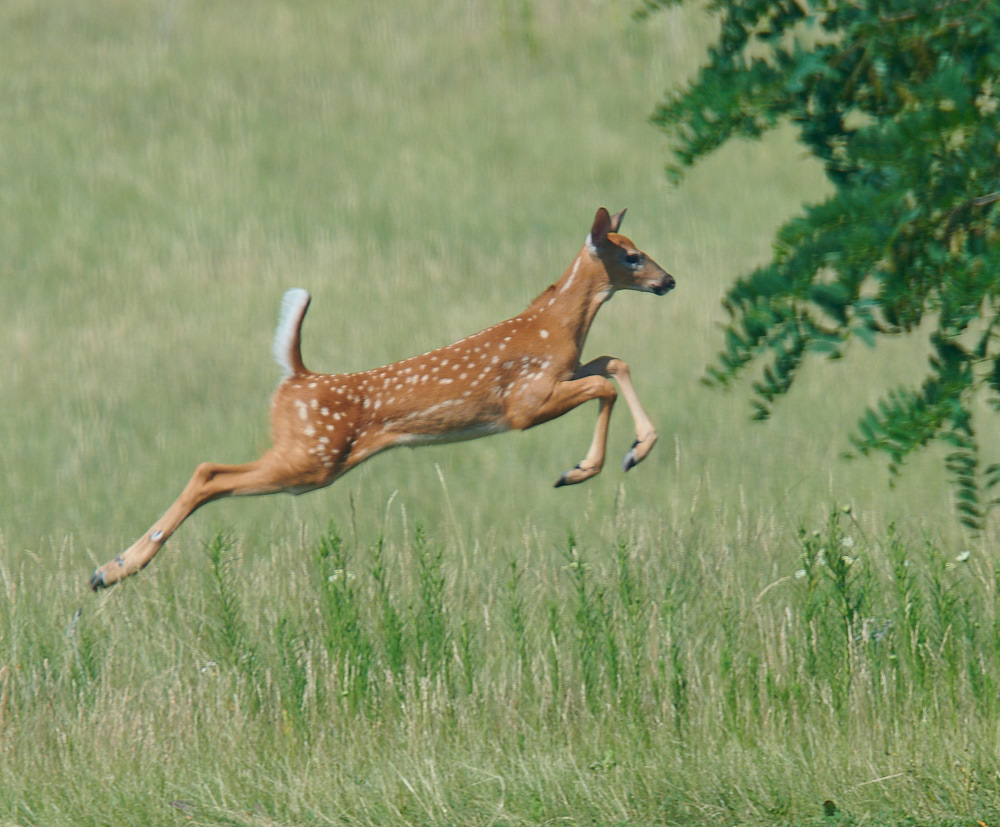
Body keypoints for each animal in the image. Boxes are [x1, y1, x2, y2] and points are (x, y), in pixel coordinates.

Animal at [90, 207, 674, 589]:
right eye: (631, 255)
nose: (667, 280)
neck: (557, 326)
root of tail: (297, 376)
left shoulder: (565, 372)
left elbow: (613, 363)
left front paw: (637, 449)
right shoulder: (523, 404)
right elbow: (602, 383)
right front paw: (582, 468)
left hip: (306, 457)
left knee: (211, 470)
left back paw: (111, 568)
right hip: (311, 458)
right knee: (210, 471)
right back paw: (112, 570)